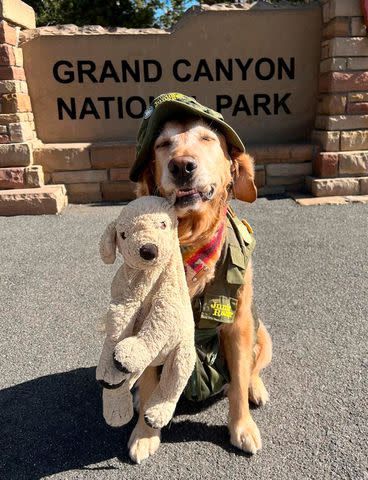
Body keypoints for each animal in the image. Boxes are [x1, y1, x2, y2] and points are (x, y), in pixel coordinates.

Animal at [128, 114, 272, 464]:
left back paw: (256, 388)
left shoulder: (238, 325)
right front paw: (145, 434)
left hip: (262, 333)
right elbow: (150, 384)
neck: (189, 238)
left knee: (252, 369)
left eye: (207, 138)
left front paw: (242, 427)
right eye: (163, 143)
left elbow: (238, 384)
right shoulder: (147, 322)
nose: (182, 166)